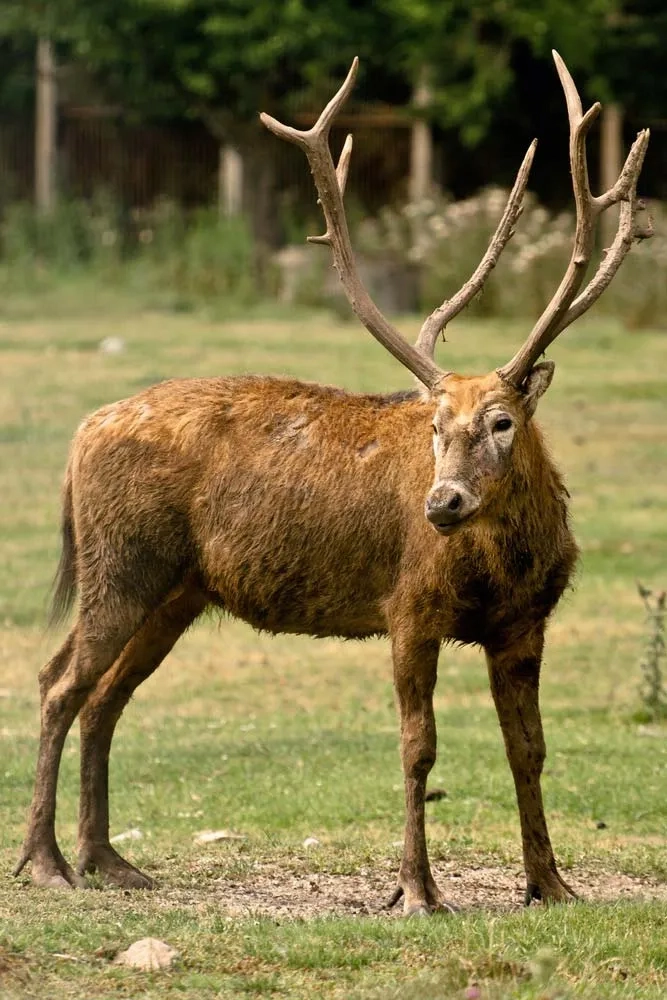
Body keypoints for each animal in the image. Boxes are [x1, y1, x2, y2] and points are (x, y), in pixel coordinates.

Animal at [14, 52, 650, 916]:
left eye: (501, 421)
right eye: (432, 424)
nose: (441, 503)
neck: (503, 564)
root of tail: (83, 431)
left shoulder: (526, 622)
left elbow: (530, 748)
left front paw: (550, 883)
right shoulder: (408, 605)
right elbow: (418, 747)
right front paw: (416, 891)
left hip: (178, 589)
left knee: (104, 698)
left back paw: (108, 859)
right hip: (119, 563)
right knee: (58, 683)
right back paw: (46, 862)